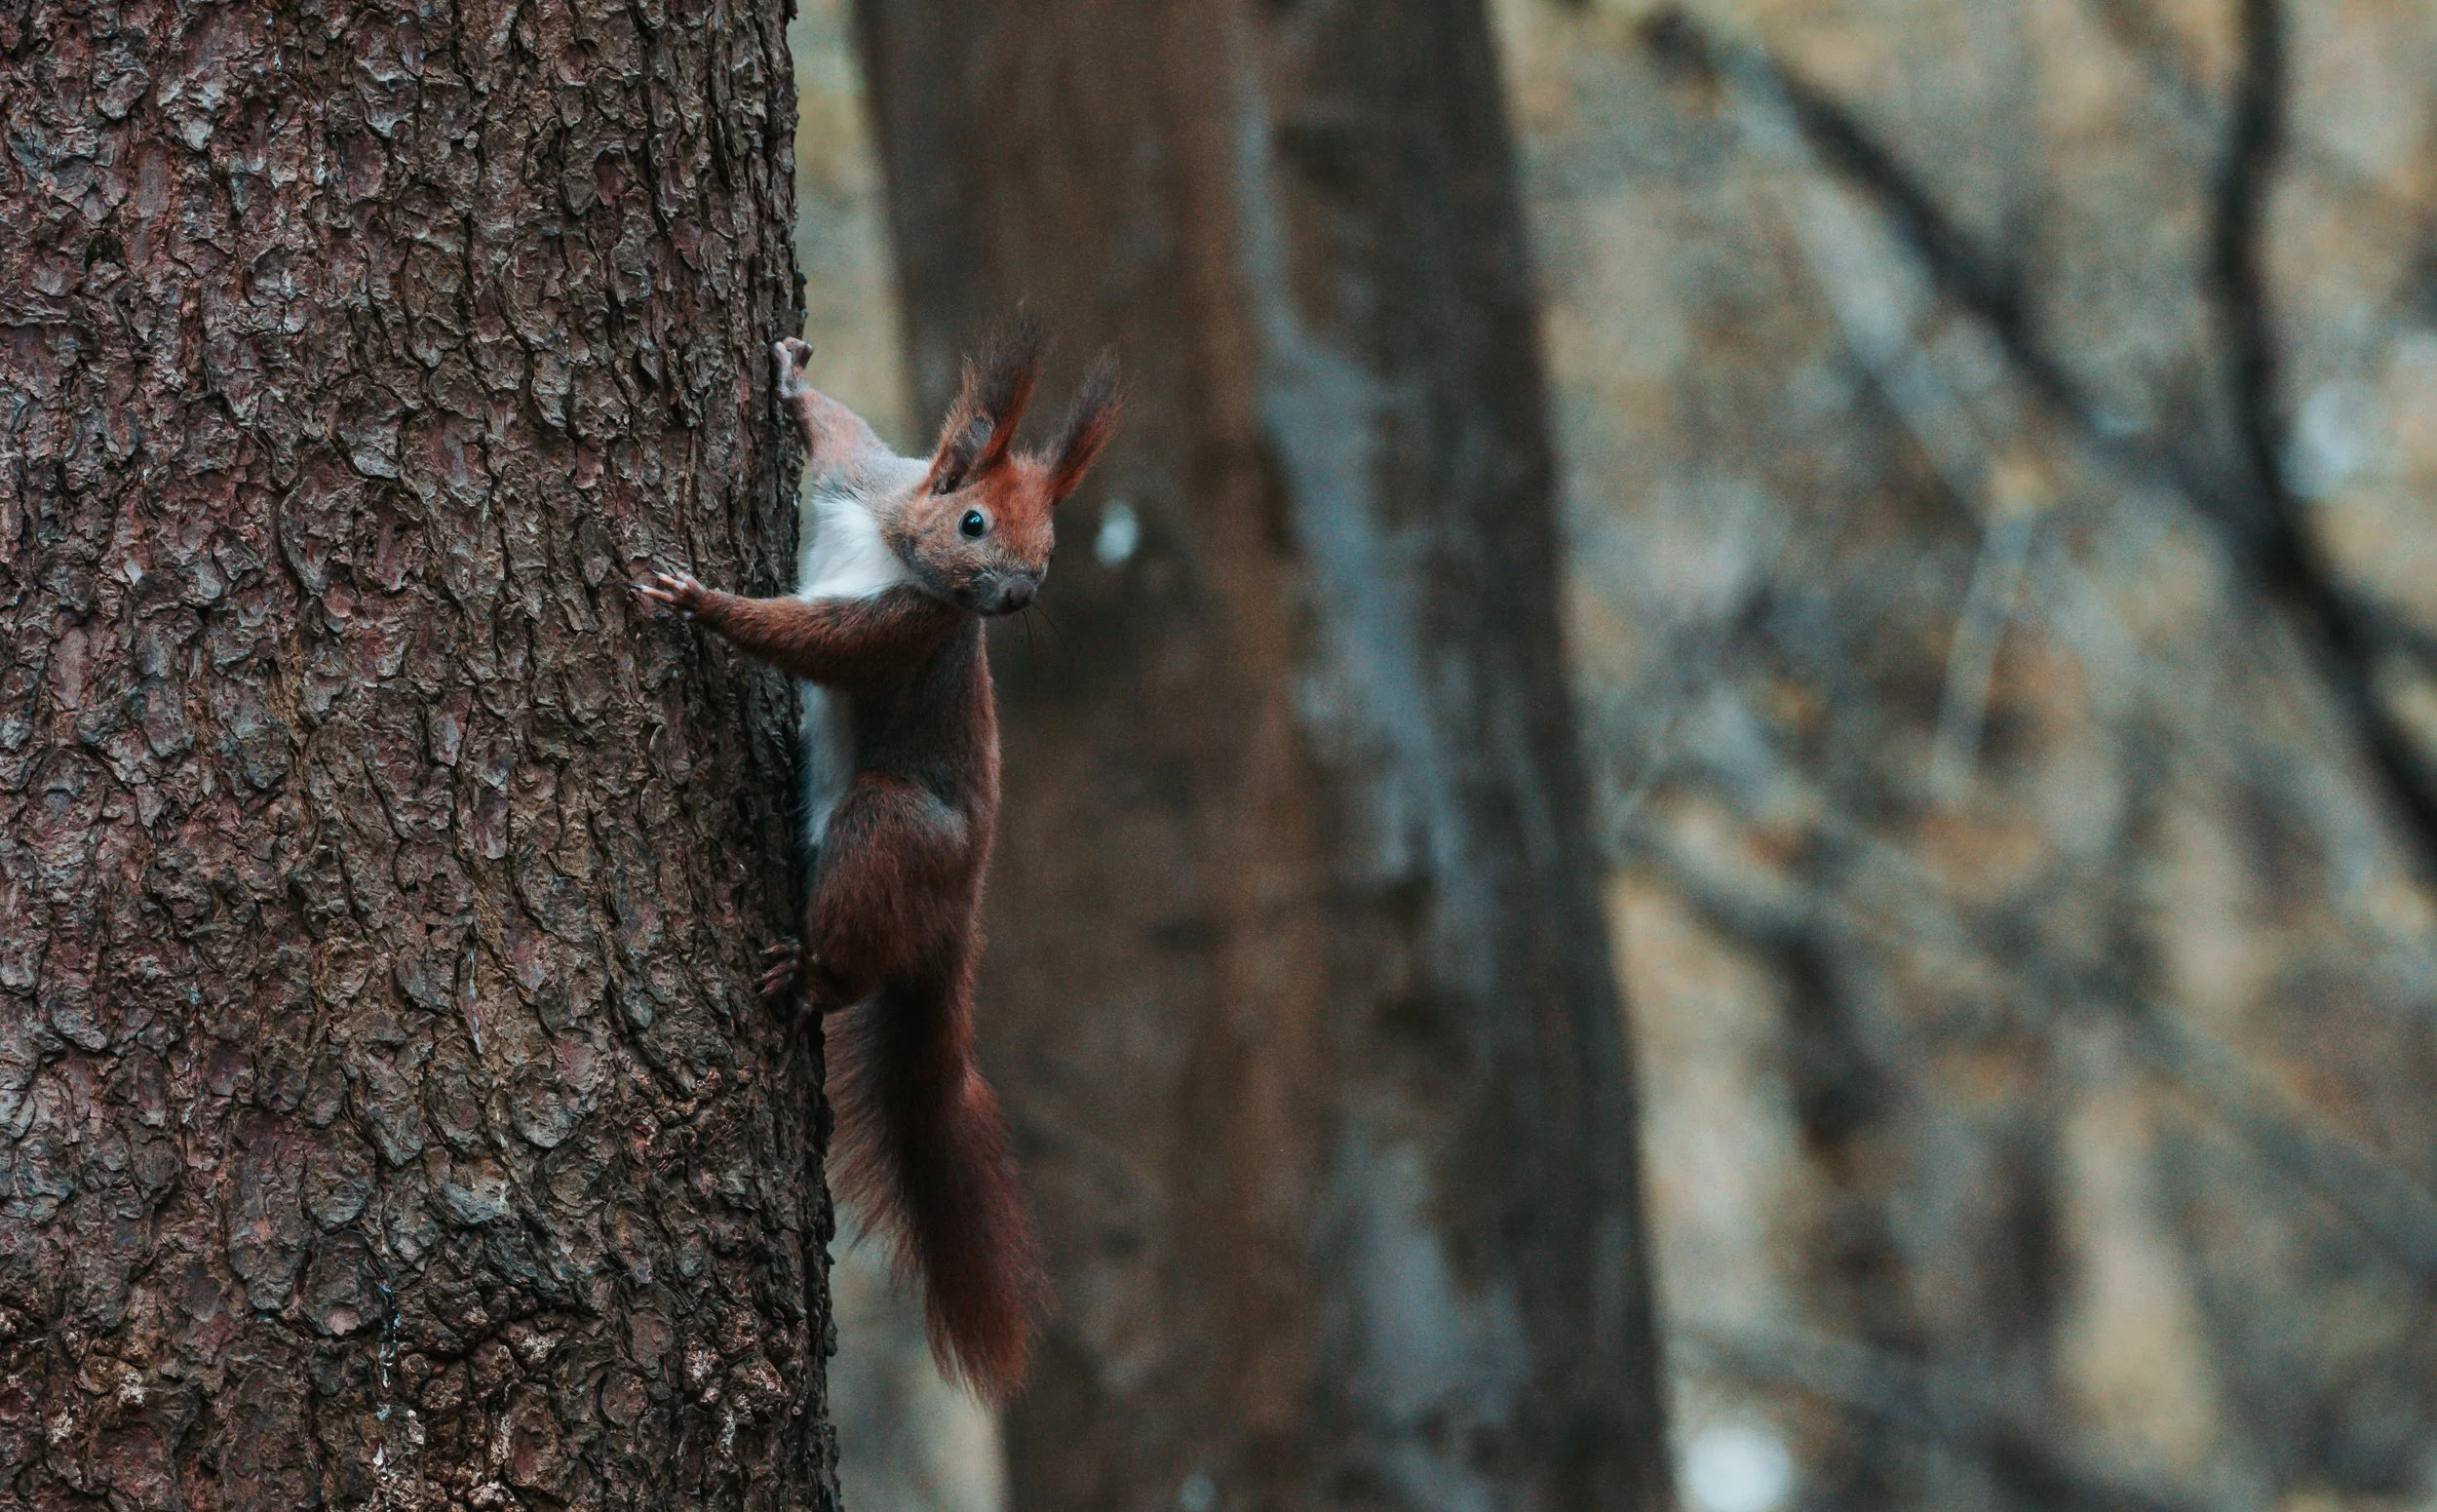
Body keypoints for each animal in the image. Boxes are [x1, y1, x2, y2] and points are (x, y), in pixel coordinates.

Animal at [634, 324, 1118, 1399]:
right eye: (974, 522)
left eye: (1051, 552)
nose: (1019, 595)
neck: (895, 543)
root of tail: (956, 918)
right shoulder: (869, 479)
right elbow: (840, 431)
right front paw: (788, 376)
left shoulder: (896, 633)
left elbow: (809, 644)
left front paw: (703, 603)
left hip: (888, 826)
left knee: (854, 947)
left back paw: (812, 975)